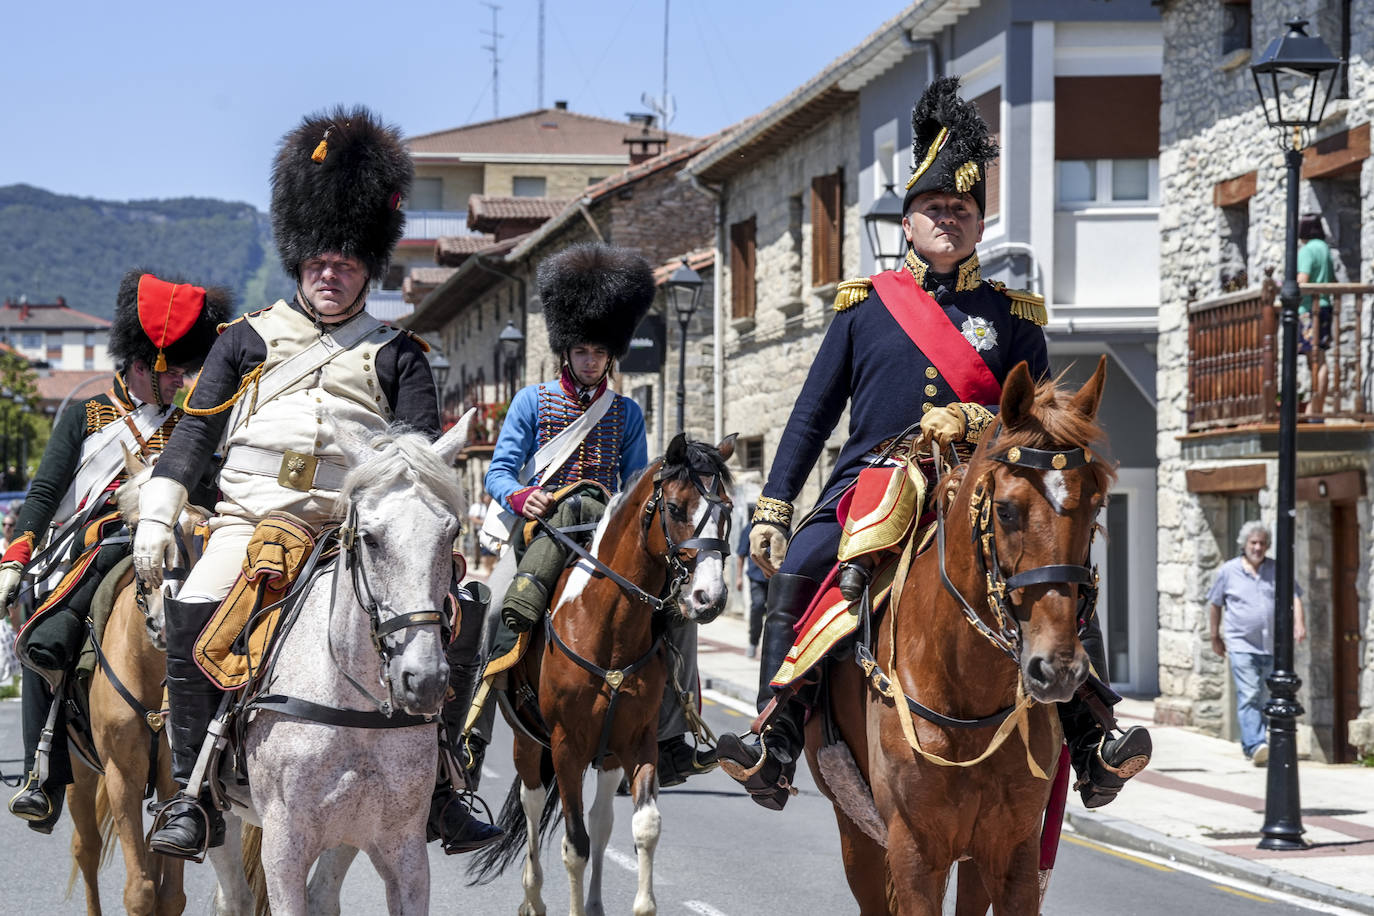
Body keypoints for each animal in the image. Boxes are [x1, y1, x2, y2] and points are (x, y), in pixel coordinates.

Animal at [469, 436, 736, 916]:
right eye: (674, 507)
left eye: (725, 509)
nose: (710, 597)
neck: (609, 624)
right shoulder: (566, 747)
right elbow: (574, 845)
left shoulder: (637, 741)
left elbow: (643, 827)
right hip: (528, 743)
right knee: (533, 803)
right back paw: (532, 898)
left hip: (608, 753)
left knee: (602, 819)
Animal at [802, 359, 1115, 916]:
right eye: (1006, 509)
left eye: (1096, 508)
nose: (1057, 668)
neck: (970, 691)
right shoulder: (913, 850)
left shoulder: (1014, 851)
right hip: (856, 828)